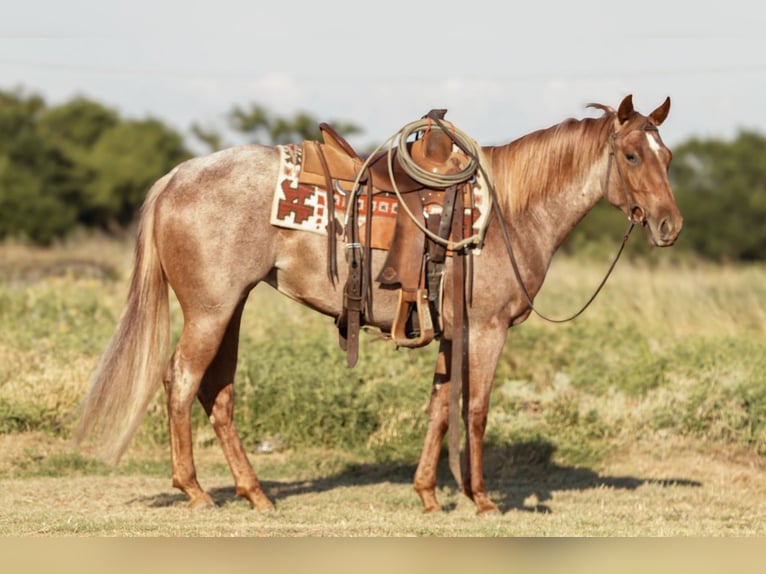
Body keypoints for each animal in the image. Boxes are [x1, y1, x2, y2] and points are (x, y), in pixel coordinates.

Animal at [75, 94, 682, 515]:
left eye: (669, 156)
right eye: (631, 155)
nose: (669, 226)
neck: (510, 214)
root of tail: (178, 175)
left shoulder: (452, 334)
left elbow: (441, 409)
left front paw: (429, 495)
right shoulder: (487, 330)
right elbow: (476, 410)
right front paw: (482, 500)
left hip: (231, 308)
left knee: (216, 392)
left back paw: (255, 493)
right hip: (210, 310)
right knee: (181, 382)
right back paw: (196, 491)